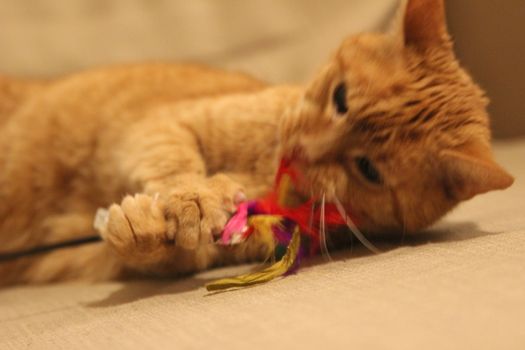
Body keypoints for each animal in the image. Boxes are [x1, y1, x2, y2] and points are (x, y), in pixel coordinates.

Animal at [0, 0, 512, 284]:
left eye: (368, 169)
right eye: (341, 97)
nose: (305, 151)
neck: (266, 168)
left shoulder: (212, 252)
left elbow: (171, 254)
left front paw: (142, 229)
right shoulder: (162, 122)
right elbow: (174, 161)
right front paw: (193, 197)